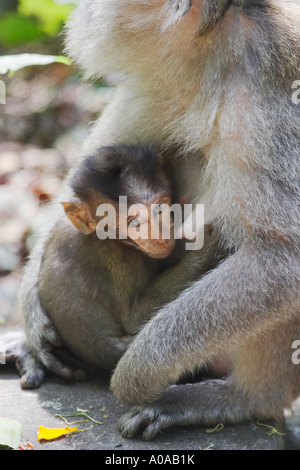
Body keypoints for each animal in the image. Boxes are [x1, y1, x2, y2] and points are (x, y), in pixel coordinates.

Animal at [19, 0, 300, 440]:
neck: (214, 47)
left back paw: (245, 397)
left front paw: (136, 376)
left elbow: (284, 257)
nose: (84, 10)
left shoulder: (265, 95)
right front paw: (32, 319)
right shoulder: (166, 78)